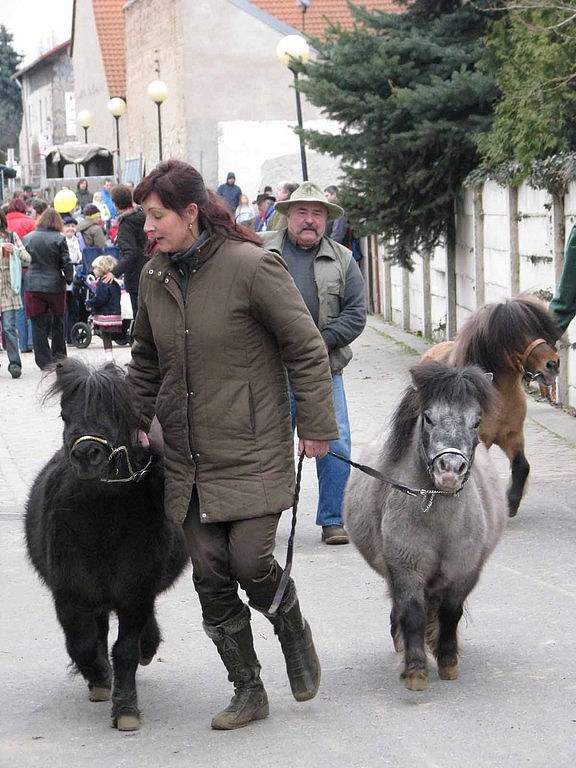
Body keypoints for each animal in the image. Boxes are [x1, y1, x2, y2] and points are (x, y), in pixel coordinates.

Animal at [25, 360, 188, 732]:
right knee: (95, 631)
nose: (88, 454)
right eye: (64, 414)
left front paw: (126, 709)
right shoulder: (70, 594)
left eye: (118, 413)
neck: (102, 522)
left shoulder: (134, 593)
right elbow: (83, 643)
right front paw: (100, 678)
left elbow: (125, 650)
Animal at [344, 360, 506, 688]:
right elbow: (413, 612)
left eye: (476, 421)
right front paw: (416, 669)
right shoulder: (406, 568)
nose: (451, 470)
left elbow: (451, 613)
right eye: (429, 418)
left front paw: (447, 660)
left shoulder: (464, 571)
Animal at [424, 296, 560, 520]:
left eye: (539, 330)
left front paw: (511, 504)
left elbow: (522, 466)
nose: (553, 364)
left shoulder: (512, 435)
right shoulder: (482, 442)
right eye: (516, 336)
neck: (499, 399)